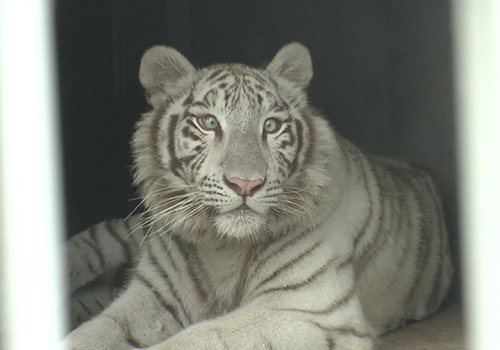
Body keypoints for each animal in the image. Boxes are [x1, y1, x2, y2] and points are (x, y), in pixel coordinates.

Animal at [62, 42, 454, 348]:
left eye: (271, 125)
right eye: (209, 123)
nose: (245, 184)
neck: (221, 247)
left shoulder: (304, 309)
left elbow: (201, 337)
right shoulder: (153, 294)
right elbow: (96, 330)